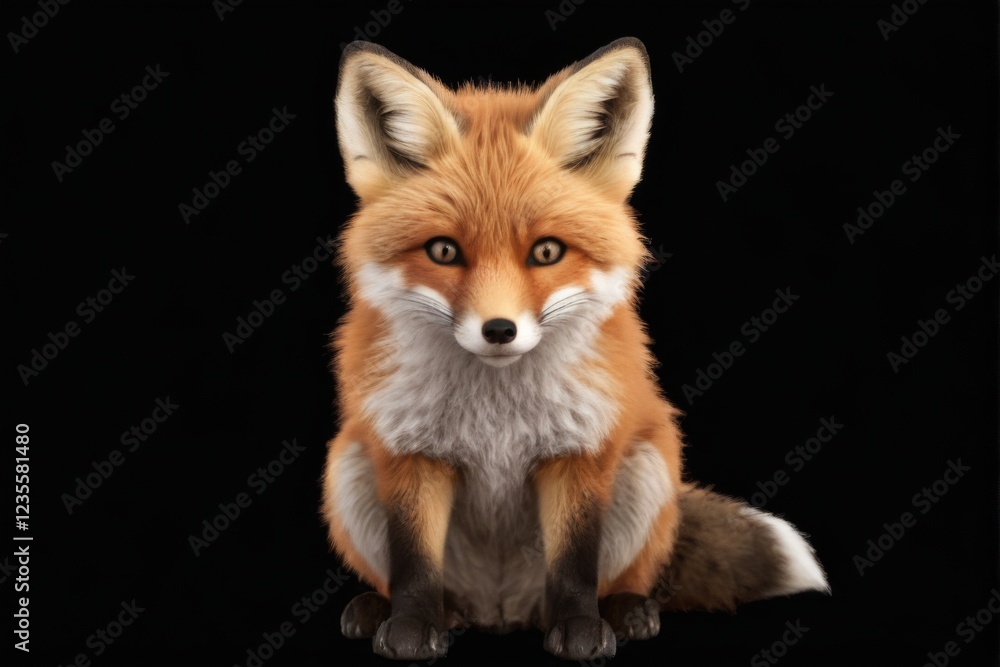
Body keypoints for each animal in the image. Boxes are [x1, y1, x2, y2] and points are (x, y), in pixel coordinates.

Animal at [321, 37, 829, 661]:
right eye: (443, 251)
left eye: (546, 252)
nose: (499, 330)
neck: (496, 416)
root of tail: (501, 615)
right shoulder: (408, 452)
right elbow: (415, 563)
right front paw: (413, 627)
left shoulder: (581, 452)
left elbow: (575, 564)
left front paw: (583, 631)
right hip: (348, 464)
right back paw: (387, 609)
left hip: (647, 465)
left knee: (623, 576)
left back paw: (628, 611)